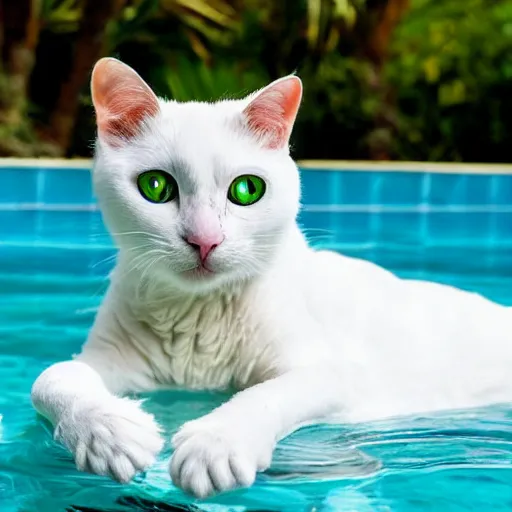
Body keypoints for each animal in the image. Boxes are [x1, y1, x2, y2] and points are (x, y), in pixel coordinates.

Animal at [31, 57, 512, 500]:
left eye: (247, 190)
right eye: (155, 186)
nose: (204, 241)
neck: (197, 322)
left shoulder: (335, 374)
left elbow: (266, 393)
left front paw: (215, 445)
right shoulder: (101, 360)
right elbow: (52, 379)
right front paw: (108, 433)